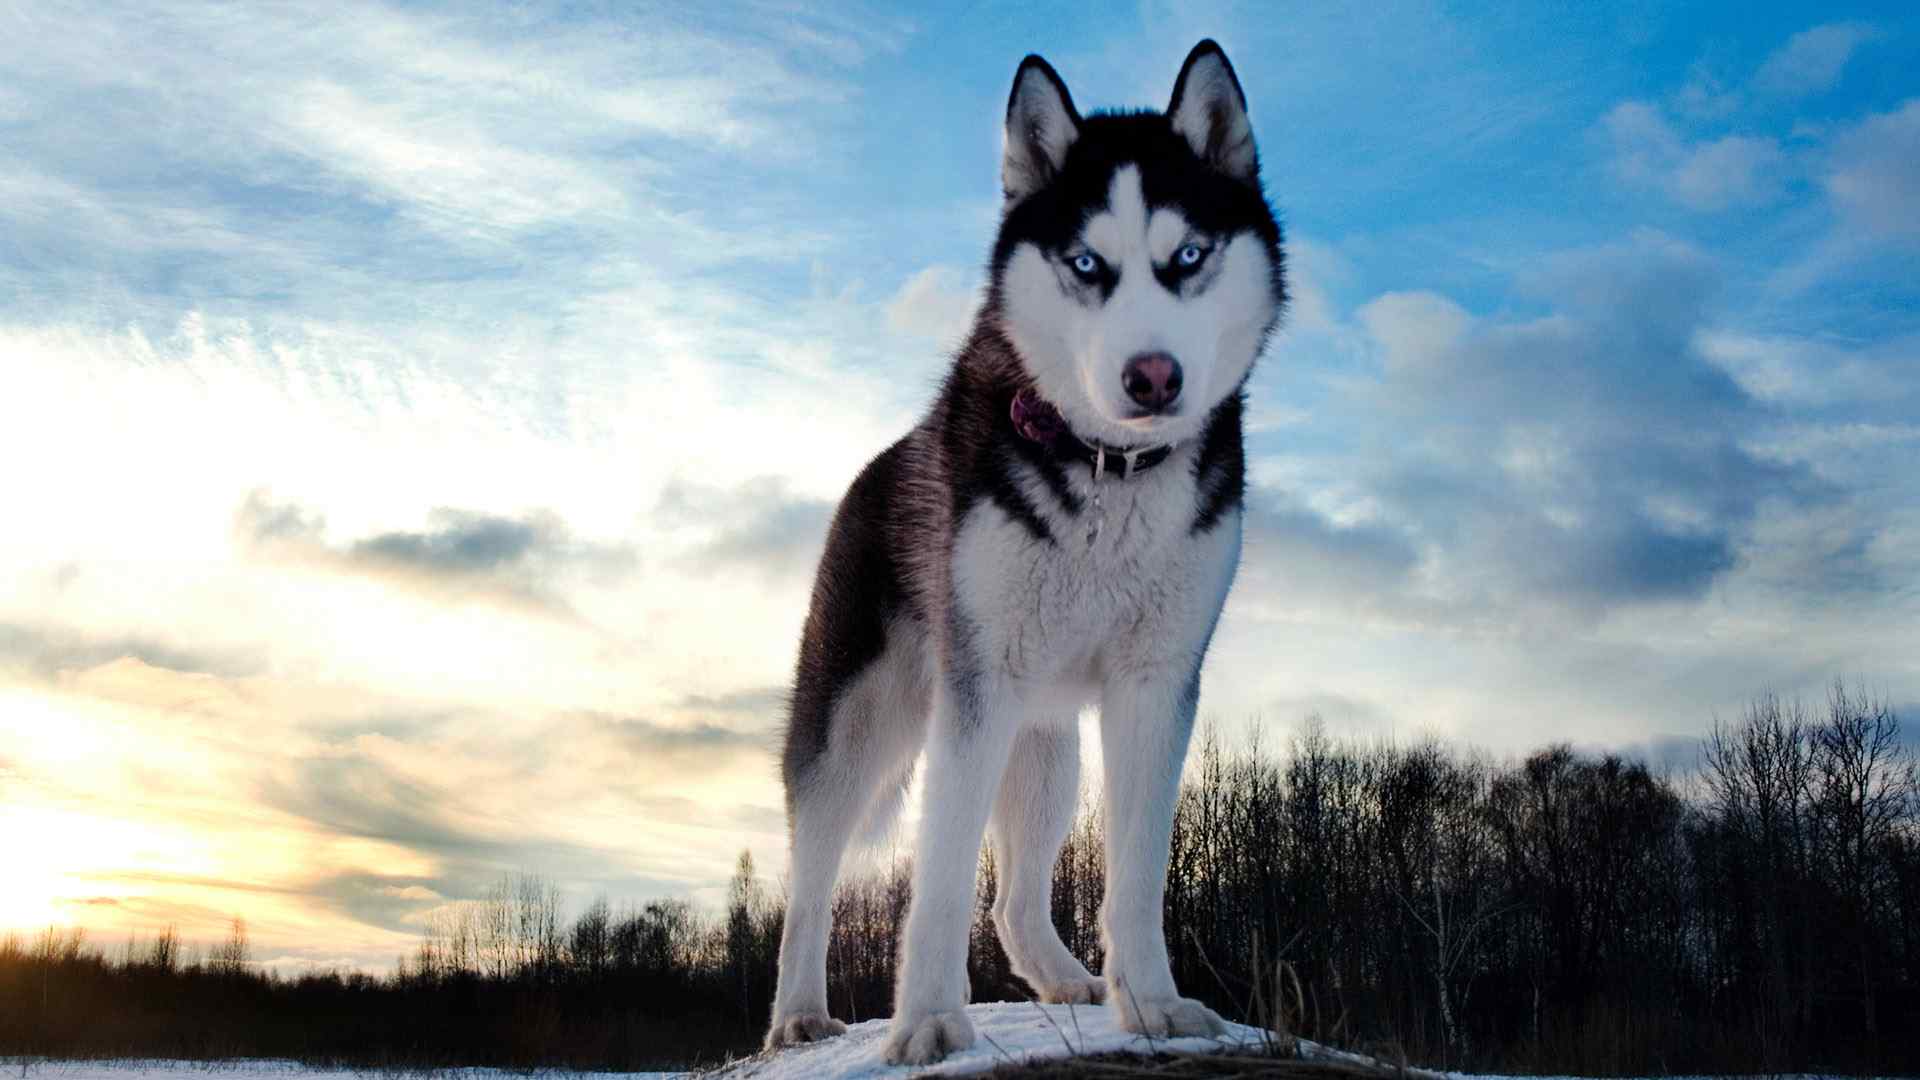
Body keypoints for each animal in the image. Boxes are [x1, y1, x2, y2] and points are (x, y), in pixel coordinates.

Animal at [768, 39, 1290, 1060]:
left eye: (1189, 257)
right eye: (1087, 262)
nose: (1153, 376)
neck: (1109, 471)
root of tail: (874, 468)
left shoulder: (1155, 685)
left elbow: (1136, 872)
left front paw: (1153, 1004)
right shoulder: (975, 693)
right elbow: (936, 880)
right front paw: (929, 1020)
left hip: (1046, 748)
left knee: (1012, 900)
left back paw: (1062, 978)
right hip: (859, 726)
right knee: (810, 880)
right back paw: (799, 1013)